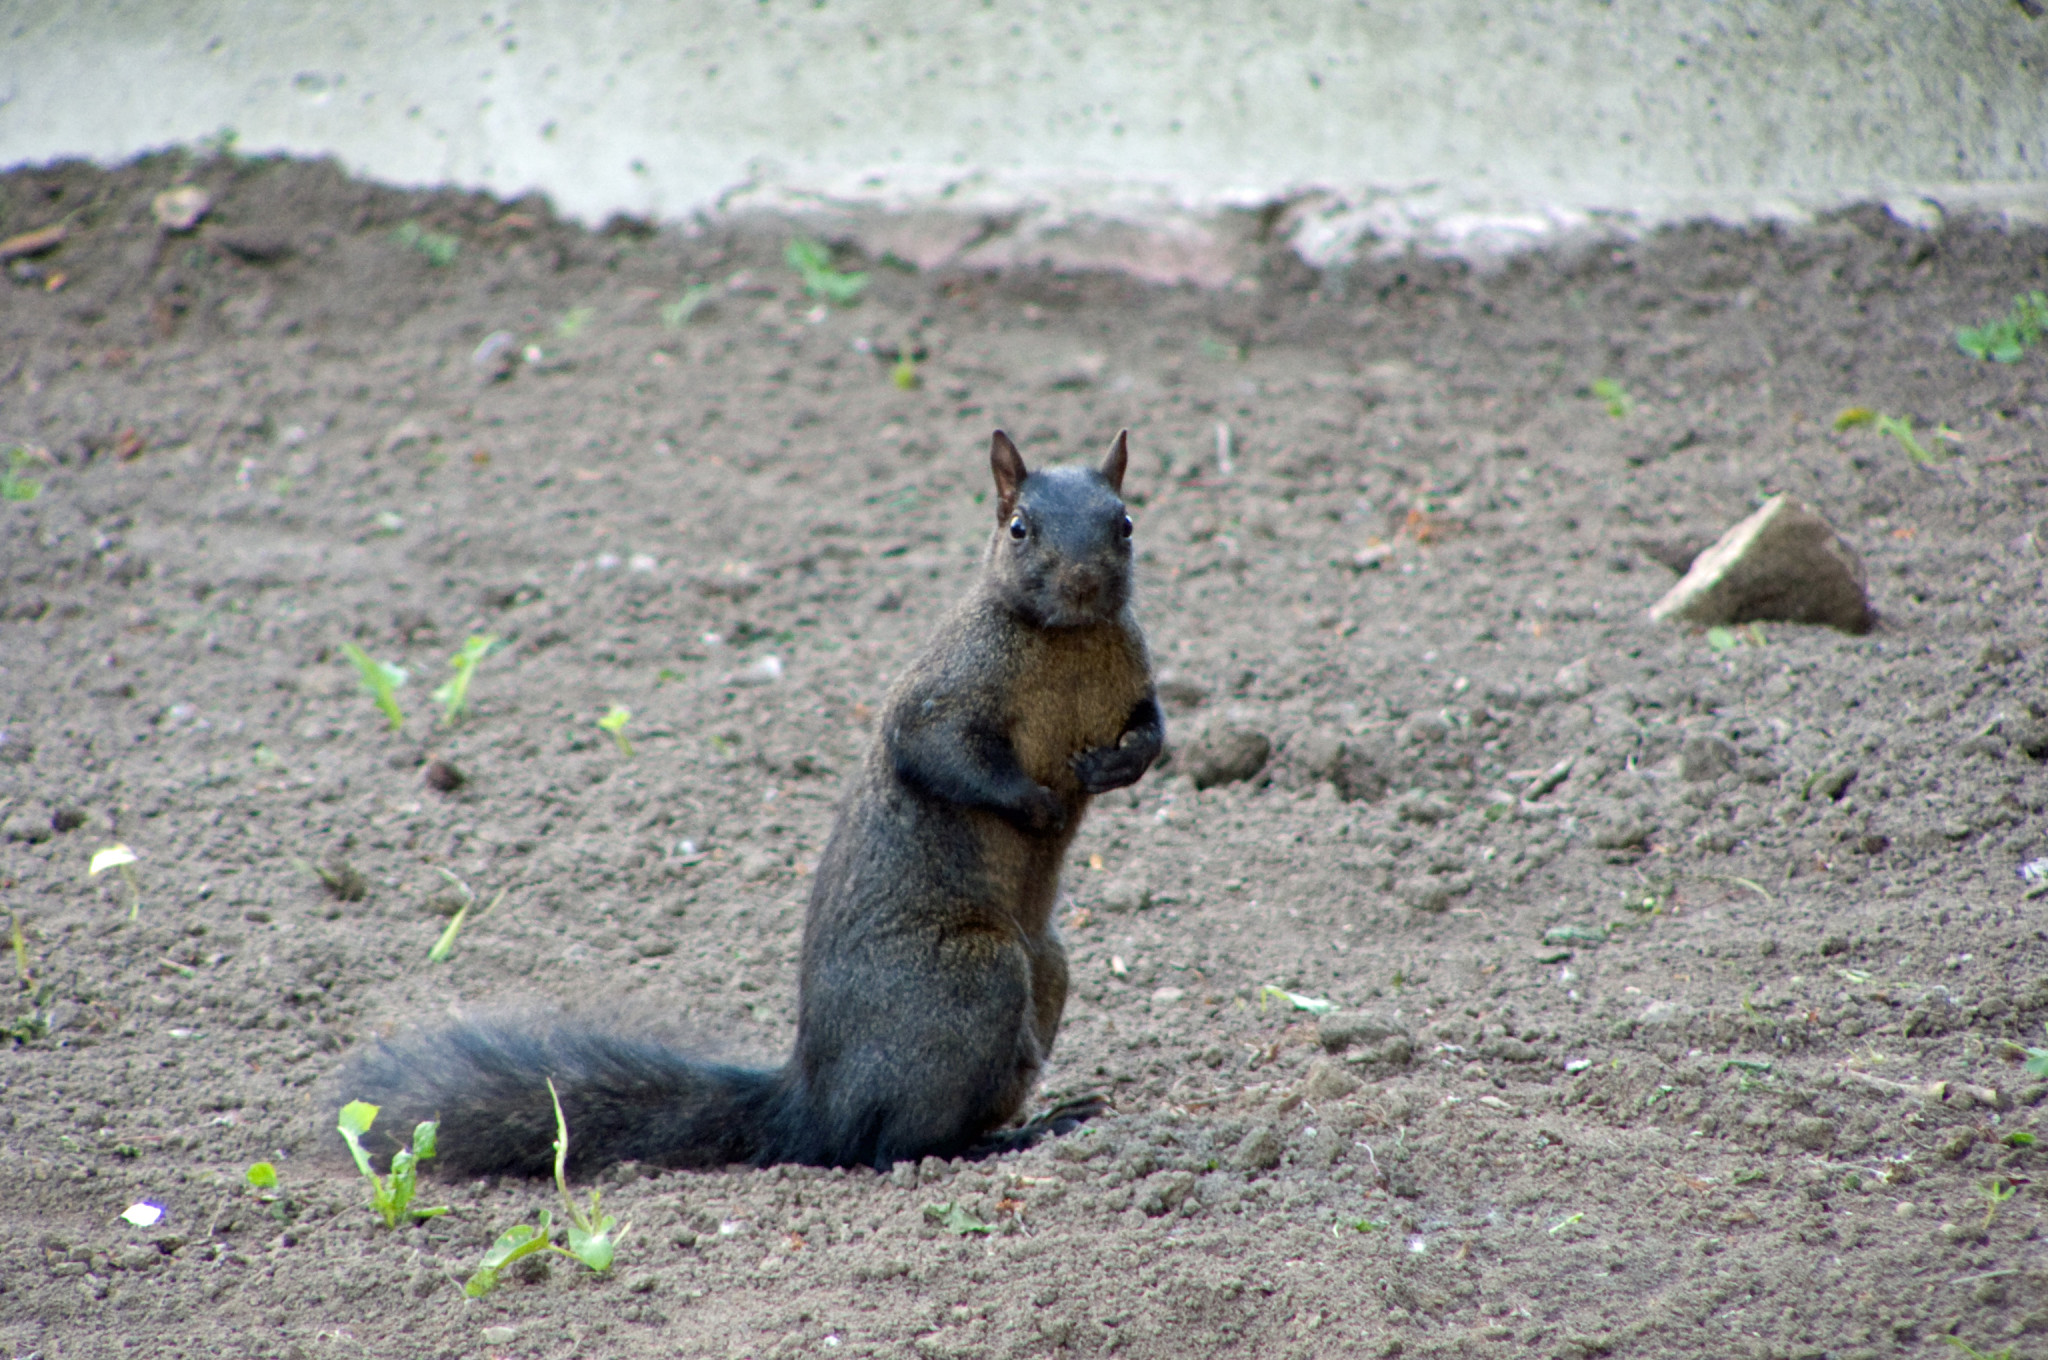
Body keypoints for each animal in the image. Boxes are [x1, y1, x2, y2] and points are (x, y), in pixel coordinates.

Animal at [344, 430, 1163, 1171]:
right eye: (1018, 528)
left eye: (1125, 522)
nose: (1084, 583)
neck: (1066, 637)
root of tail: (813, 1107)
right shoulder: (942, 693)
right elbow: (939, 754)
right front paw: (1037, 805)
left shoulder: (1134, 685)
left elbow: (1153, 734)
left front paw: (1115, 767)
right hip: (970, 981)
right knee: (896, 1146)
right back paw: (1008, 1137)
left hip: (1045, 970)